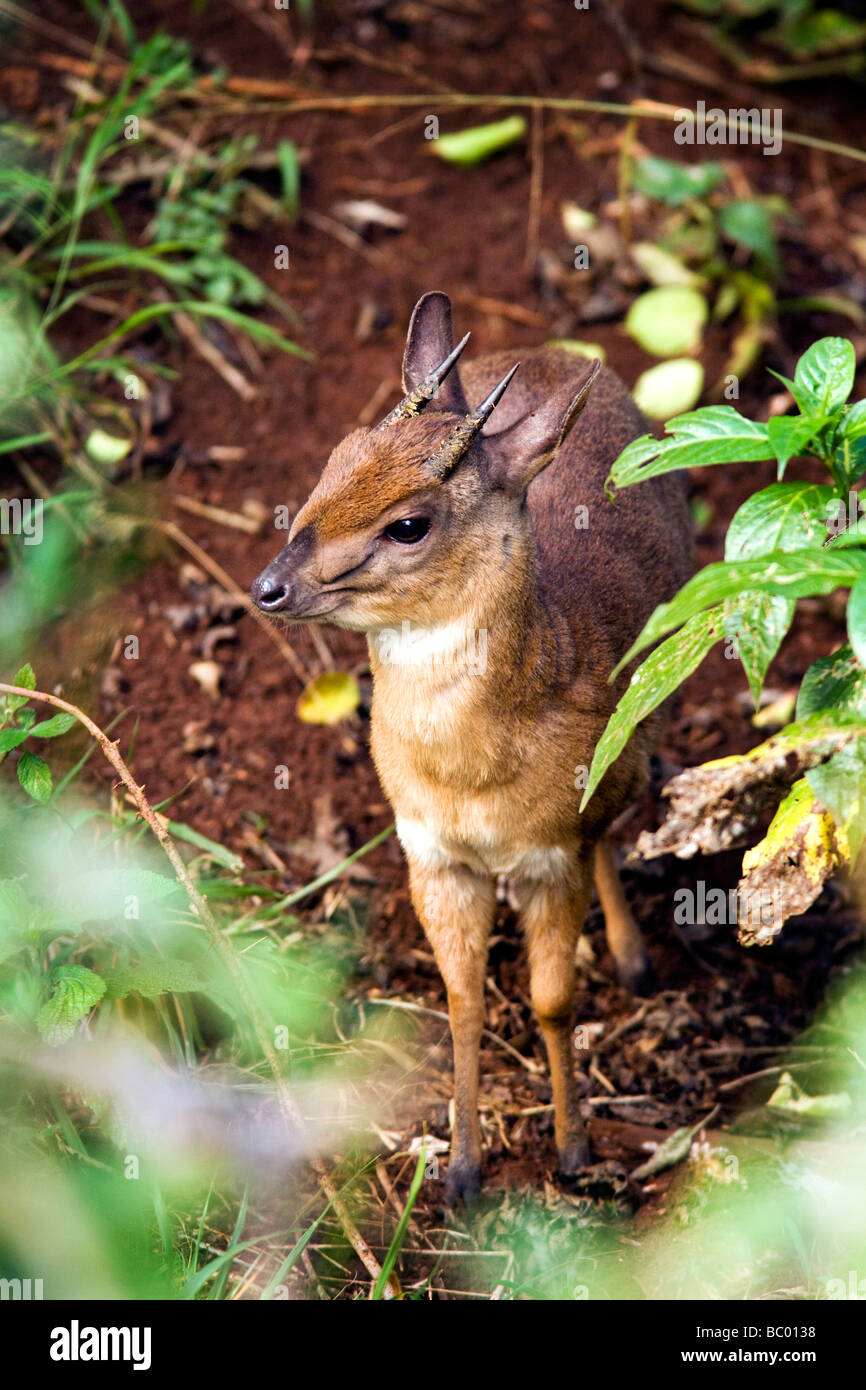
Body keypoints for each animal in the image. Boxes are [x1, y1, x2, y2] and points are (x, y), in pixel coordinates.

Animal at [254, 290, 695, 1195]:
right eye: (338, 456)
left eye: (409, 524)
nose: (269, 587)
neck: (476, 776)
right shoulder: (432, 853)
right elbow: (463, 1001)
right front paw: (460, 1170)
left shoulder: (550, 856)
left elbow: (553, 1003)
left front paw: (573, 1151)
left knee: (617, 816)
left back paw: (633, 958)